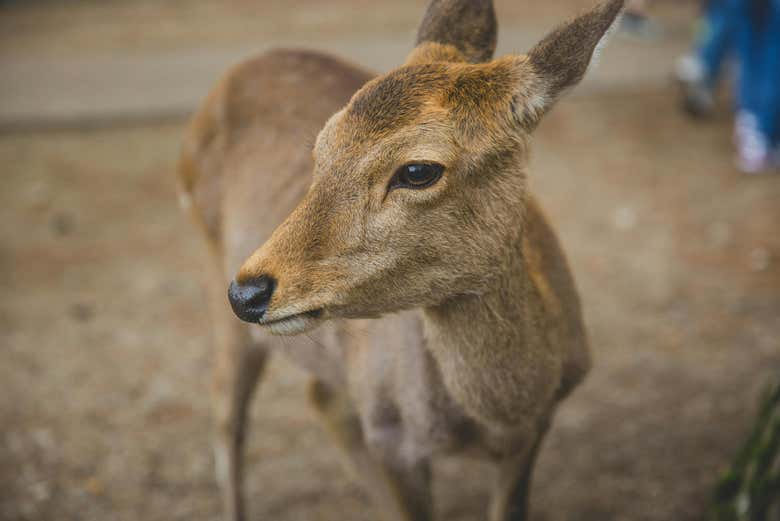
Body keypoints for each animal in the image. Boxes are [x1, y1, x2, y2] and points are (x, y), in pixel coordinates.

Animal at [177, 1, 623, 519]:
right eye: (322, 149)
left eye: (417, 170)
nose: (249, 291)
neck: (504, 411)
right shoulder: (391, 435)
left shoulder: (536, 429)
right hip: (214, 273)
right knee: (227, 412)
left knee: (319, 396)